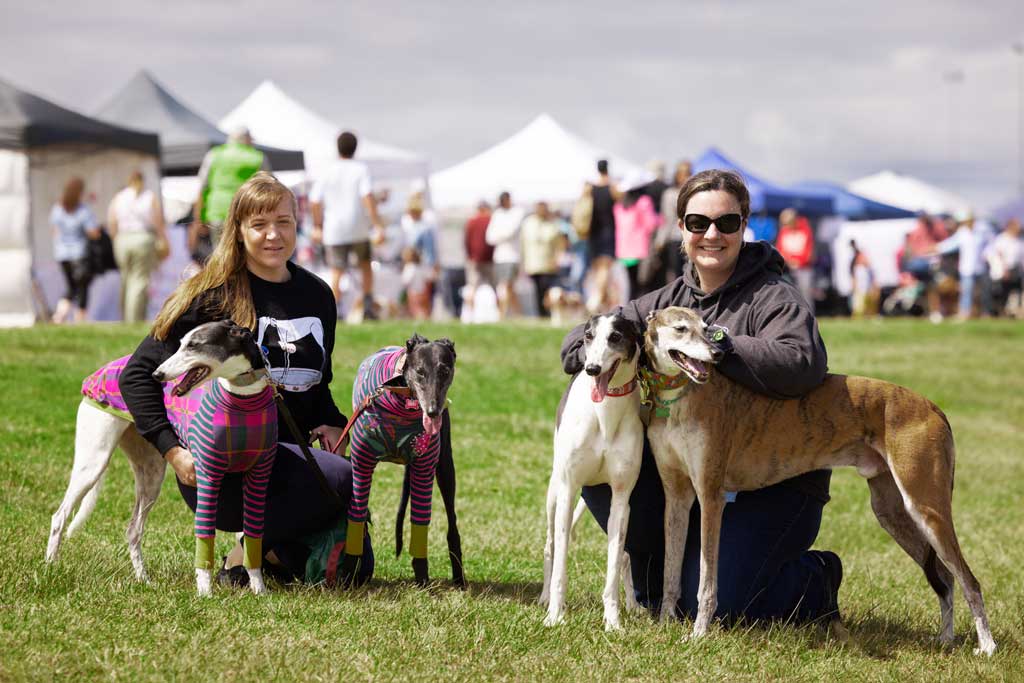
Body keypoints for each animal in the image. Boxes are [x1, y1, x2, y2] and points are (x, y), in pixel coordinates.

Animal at [46, 321, 274, 593]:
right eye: (180, 343)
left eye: (194, 345)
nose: (157, 374)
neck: (242, 397)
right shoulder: (207, 476)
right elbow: (205, 536)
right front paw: (204, 593)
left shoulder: (259, 476)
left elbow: (253, 536)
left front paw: (259, 590)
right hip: (93, 462)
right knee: (59, 516)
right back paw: (50, 568)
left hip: (151, 473)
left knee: (133, 530)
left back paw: (144, 580)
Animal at [344, 333, 456, 585]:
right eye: (420, 371)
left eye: (445, 370)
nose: (433, 411)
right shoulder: (361, 465)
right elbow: (356, 518)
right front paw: (349, 576)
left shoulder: (424, 467)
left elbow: (420, 524)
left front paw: (423, 581)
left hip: (445, 468)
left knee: (452, 525)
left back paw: (460, 578)